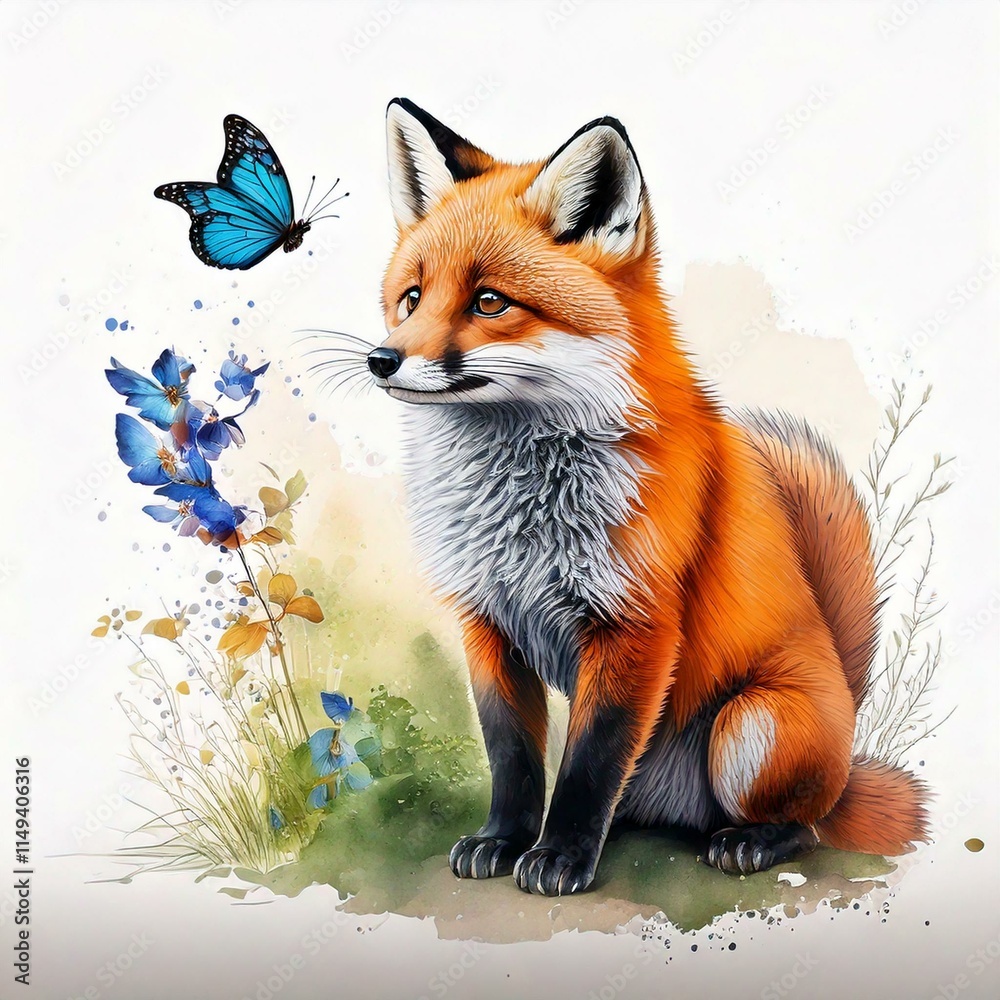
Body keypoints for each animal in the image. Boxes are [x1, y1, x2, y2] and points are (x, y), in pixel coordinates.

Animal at [363, 97, 928, 896]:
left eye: (489, 301)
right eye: (411, 299)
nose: (380, 359)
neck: (522, 511)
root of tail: (849, 752)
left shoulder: (636, 623)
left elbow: (588, 764)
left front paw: (560, 857)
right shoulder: (487, 623)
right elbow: (514, 758)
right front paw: (503, 840)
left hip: (749, 726)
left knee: (803, 823)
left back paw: (751, 842)